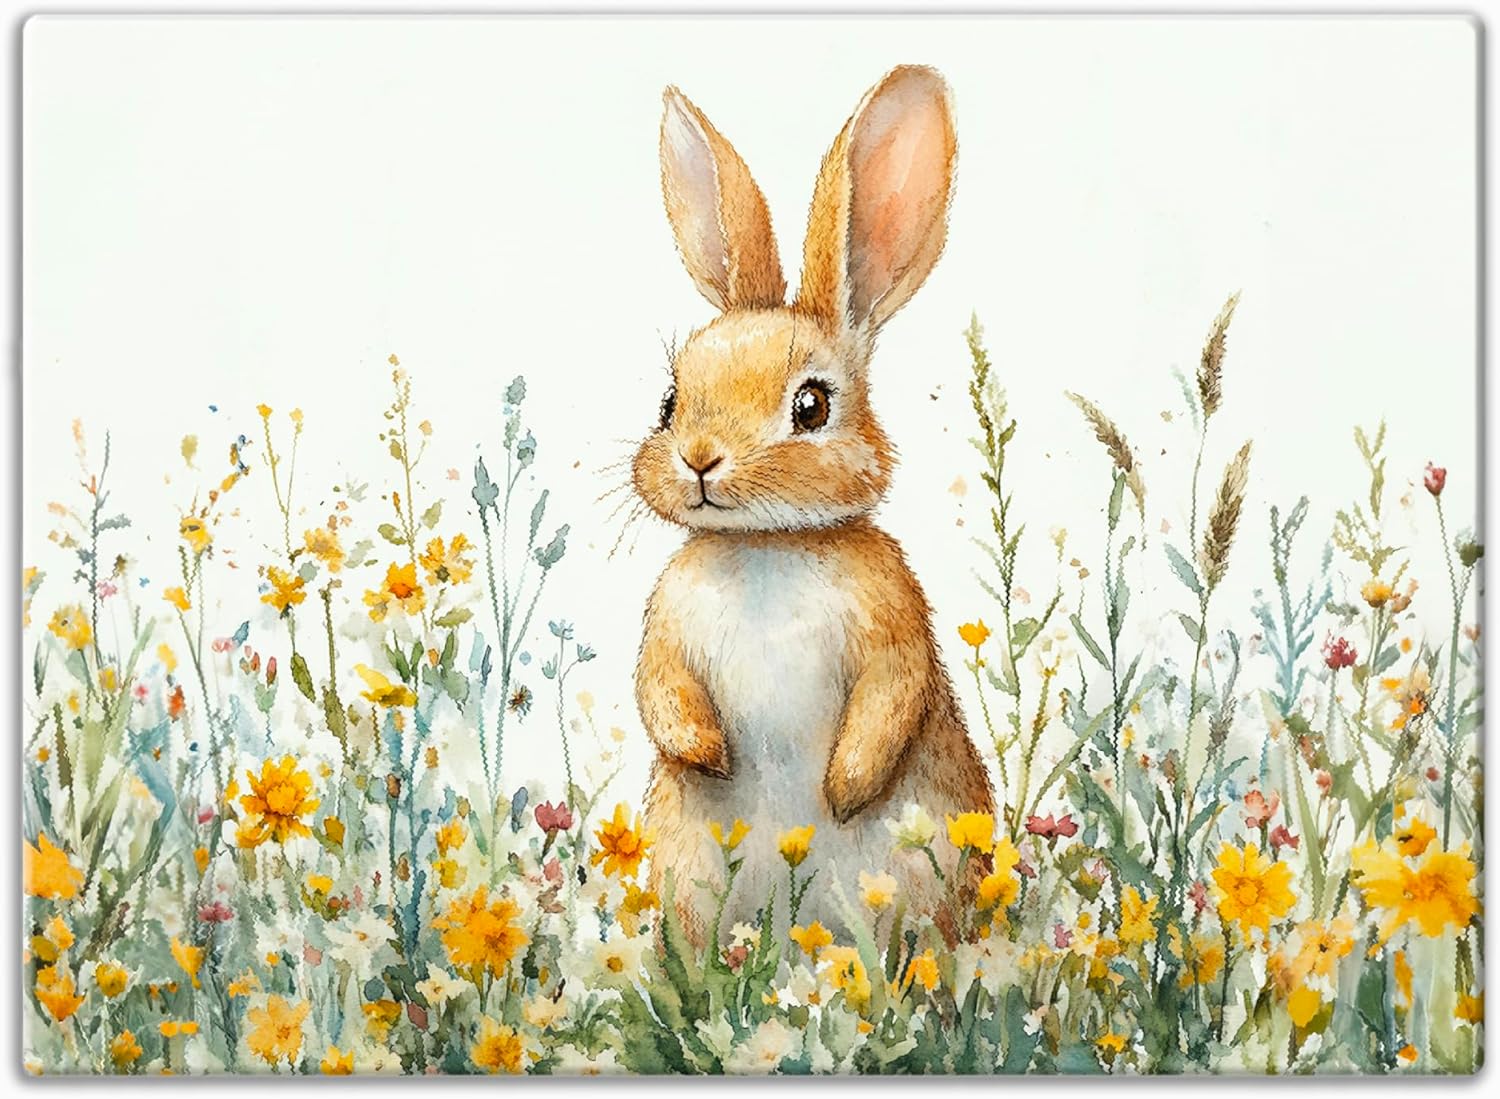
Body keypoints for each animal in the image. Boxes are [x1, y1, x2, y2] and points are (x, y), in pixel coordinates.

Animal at [631, 65, 994, 948]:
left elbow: (892, 696)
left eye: (811, 405)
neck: (768, 545)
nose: (699, 460)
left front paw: (845, 790)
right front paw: (709, 754)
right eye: (669, 401)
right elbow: (661, 687)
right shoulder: (666, 627)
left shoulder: (895, 621)